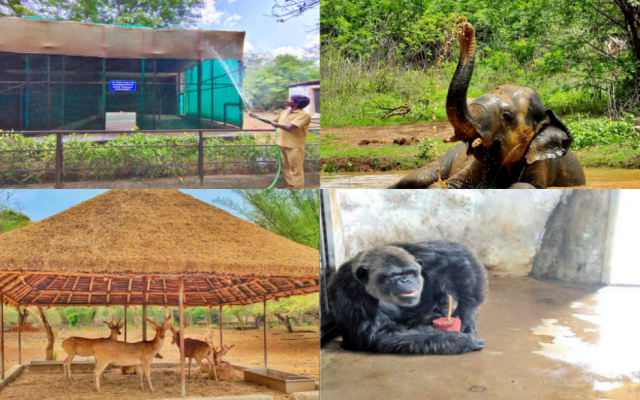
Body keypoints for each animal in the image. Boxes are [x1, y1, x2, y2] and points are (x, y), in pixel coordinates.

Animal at [390, 21, 584, 190]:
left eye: (507, 116)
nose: (465, 27)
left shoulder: (539, 165)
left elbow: (524, 186)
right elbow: (447, 185)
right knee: (417, 177)